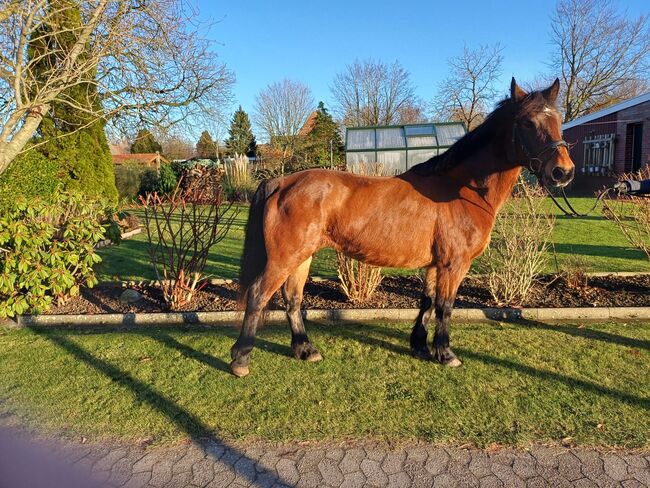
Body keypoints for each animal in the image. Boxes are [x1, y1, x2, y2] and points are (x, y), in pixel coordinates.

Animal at [232, 79, 572, 378]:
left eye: (558, 120)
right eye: (527, 122)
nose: (563, 172)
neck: (462, 190)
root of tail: (282, 182)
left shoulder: (436, 264)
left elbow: (427, 302)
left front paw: (420, 346)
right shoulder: (454, 264)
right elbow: (446, 307)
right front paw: (446, 354)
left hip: (303, 256)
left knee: (293, 299)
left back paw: (305, 349)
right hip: (285, 257)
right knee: (259, 295)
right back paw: (241, 359)